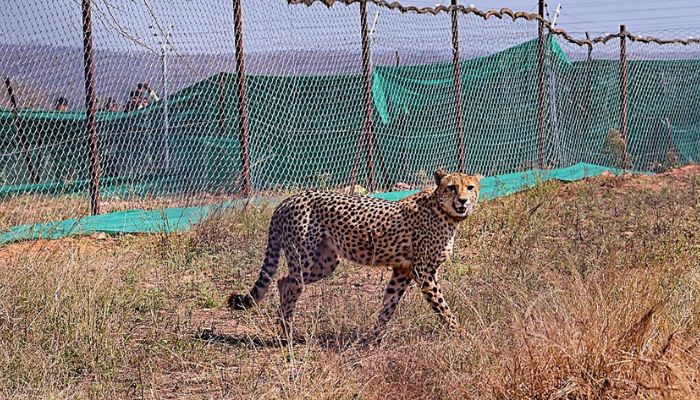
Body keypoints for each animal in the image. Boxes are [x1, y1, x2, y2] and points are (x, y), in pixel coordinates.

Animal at [228, 169, 483, 338]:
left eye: (470, 187)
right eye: (452, 187)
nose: (462, 200)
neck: (444, 212)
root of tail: (288, 199)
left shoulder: (402, 270)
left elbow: (388, 305)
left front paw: (374, 337)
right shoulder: (423, 272)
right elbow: (442, 306)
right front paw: (460, 333)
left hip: (325, 263)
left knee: (282, 281)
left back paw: (285, 328)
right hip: (304, 258)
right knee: (291, 284)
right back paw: (288, 334)